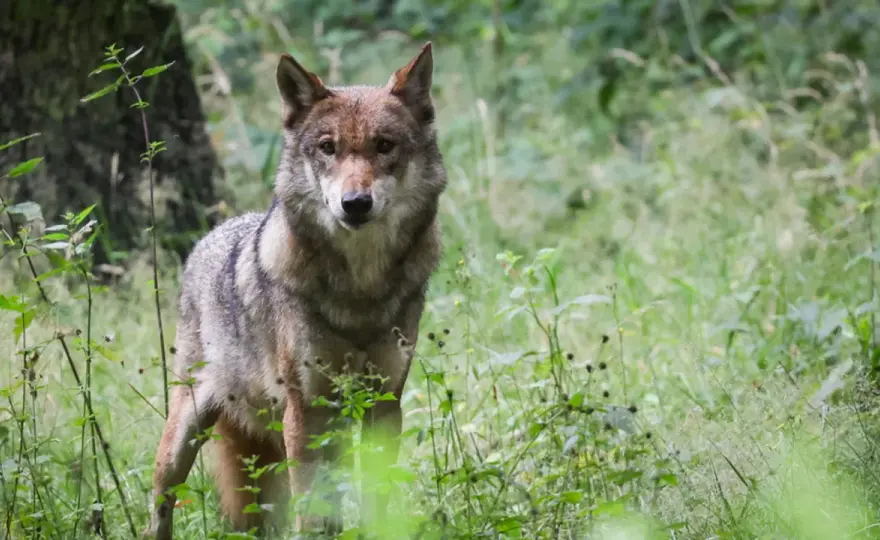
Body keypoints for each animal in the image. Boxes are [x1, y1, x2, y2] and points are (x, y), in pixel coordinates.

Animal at [145, 42, 446, 538]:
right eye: (328, 148)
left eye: (384, 146)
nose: (355, 203)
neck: (359, 290)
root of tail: (210, 238)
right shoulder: (307, 411)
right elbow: (313, 510)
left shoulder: (384, 404)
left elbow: (376, 500)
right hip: (185, 436)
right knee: (161, 499)